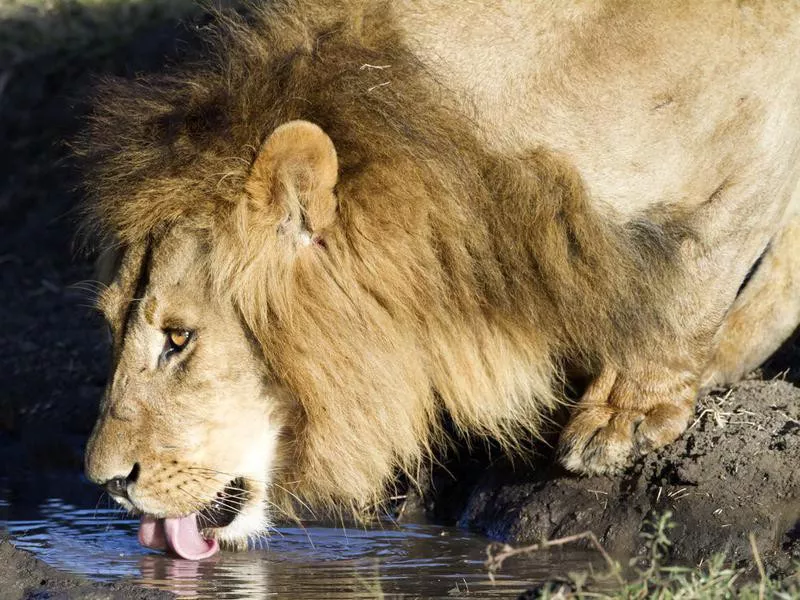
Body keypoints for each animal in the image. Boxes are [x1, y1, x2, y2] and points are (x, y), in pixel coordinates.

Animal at [81, 1, 800, 564]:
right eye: (112, 324)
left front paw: (629, 414)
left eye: (179, 339)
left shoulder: (760, 108)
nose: (106, 482)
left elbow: (703, 265)